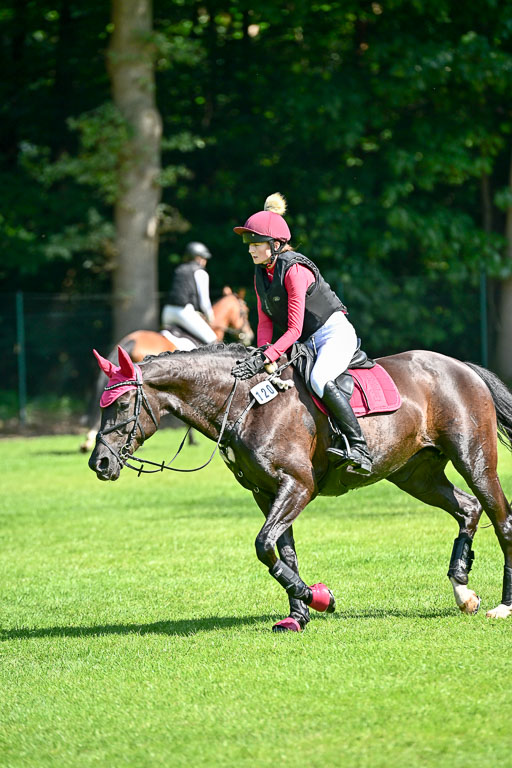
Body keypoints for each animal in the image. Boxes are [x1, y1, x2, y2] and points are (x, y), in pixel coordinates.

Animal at [88, 343, 512, 631]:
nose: (99, 464)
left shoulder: (297, 486)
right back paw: (463, 593)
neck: (246, 405)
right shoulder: (266, 493)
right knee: (468, 508)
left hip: (474, 461)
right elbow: (283, 553)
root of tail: (462, 367)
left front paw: (321, 598)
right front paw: (299, 613)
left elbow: (264, 545)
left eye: (122, 404)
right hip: (416, 475)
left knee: (501, 521)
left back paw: (503, 606)